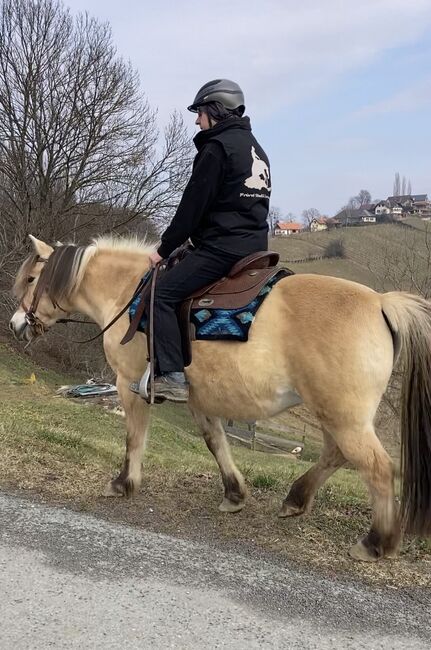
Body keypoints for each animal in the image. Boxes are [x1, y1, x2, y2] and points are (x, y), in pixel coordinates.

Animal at [8, 235, 431, 560]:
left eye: (30, 278)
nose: (15, 325)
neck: (129, 293)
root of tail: (380, 302)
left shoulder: (129, 384)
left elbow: (134, 438)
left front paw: (123, 483)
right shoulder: (200, 398)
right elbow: (216, 441)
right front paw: (234, 493)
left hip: (343, 415)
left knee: (376, 468)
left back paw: (375, 542)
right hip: (335, 413)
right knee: (336, 454)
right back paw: (295, 500)